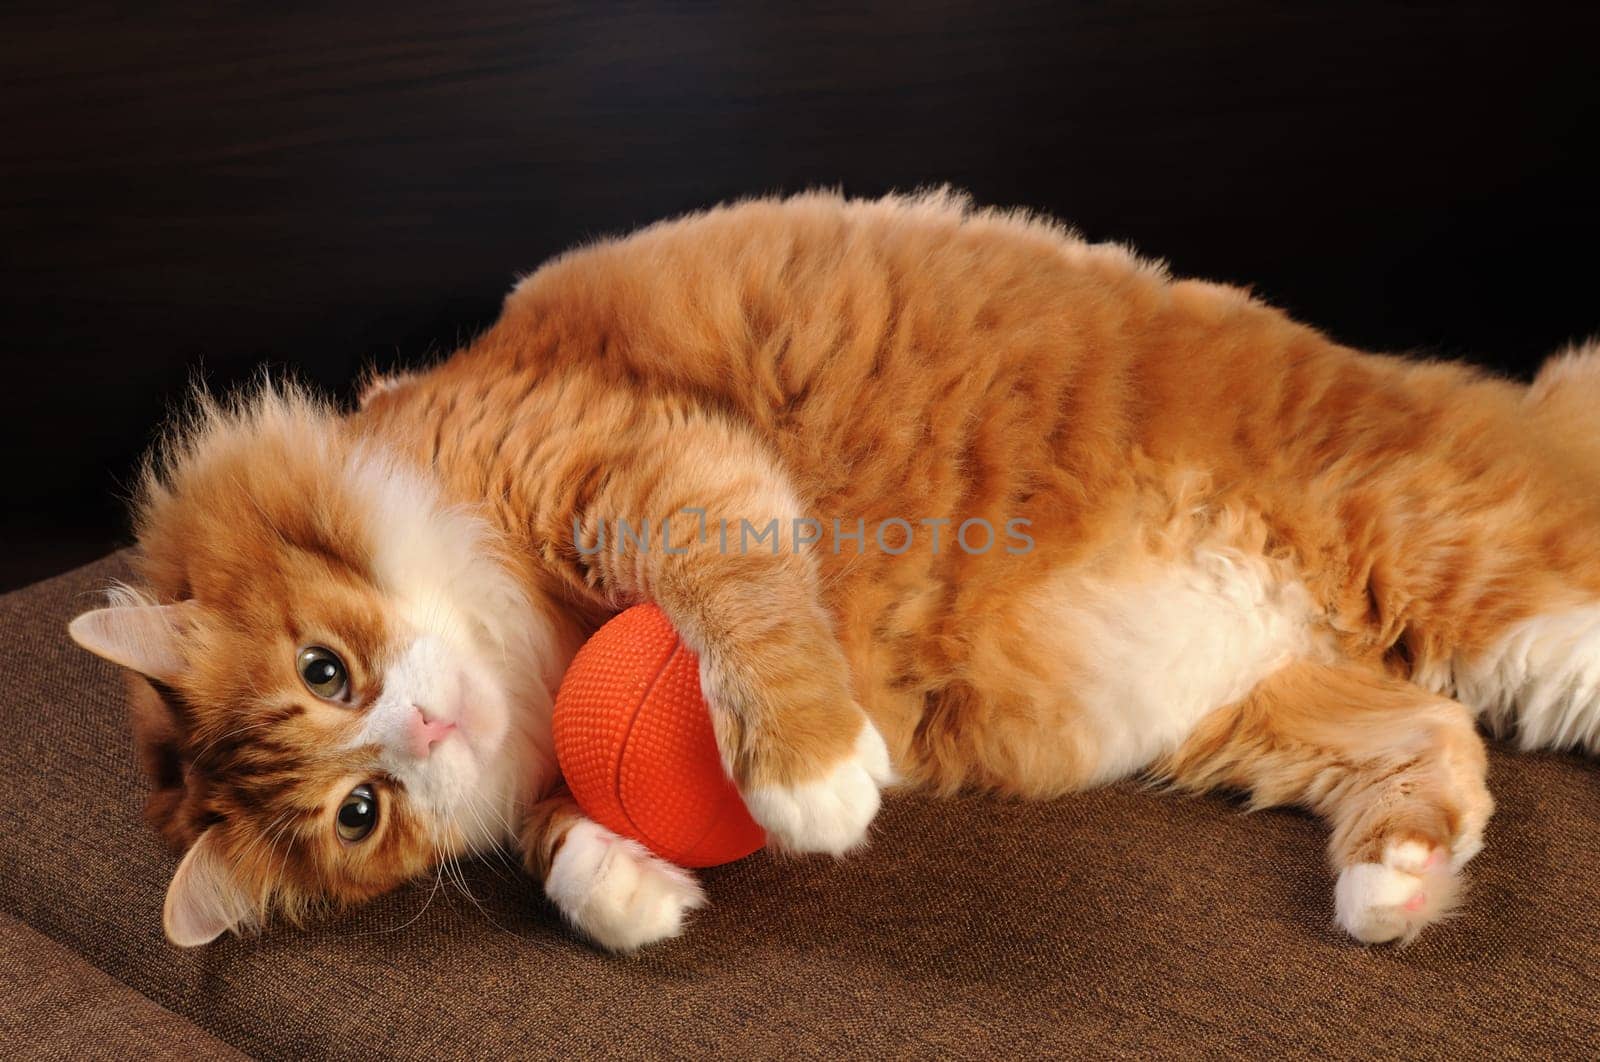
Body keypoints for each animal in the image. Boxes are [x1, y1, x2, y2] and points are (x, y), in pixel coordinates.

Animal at [68, 195, 1600, 946]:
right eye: (360, 813)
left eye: (329, 671)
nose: (427, 725)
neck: (537, 644)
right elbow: (566, 835)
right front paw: (630, 895)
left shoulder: (648, 462)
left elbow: (737, 602)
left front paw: (804, 770)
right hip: (1256, 717)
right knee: (1440, 738)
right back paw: (1397, 885)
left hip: (1438, 546)